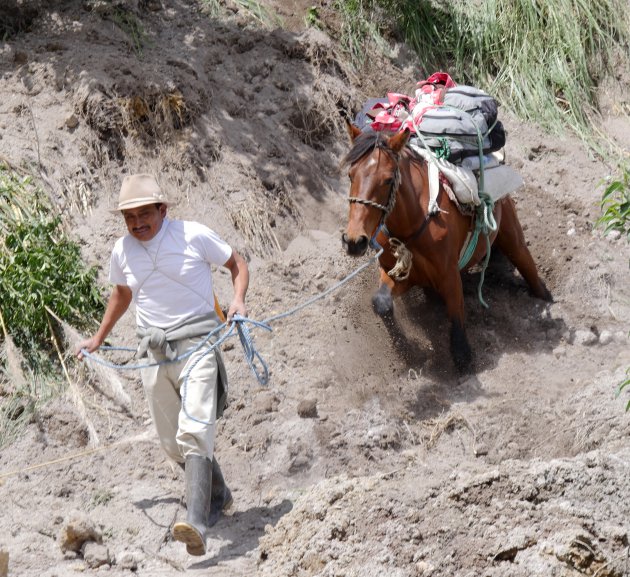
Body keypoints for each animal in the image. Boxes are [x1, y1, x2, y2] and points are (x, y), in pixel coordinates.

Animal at [340, 123, 552, 372]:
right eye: (350, 175)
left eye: (388, 179)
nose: (354, 241)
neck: (413, 223)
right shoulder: (402, 274)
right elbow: (381, 302)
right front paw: (405, 351)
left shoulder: (449, 275)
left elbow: (456, 315)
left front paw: (463, 358)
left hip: (512, 237)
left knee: (529, 269)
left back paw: (546, 299)